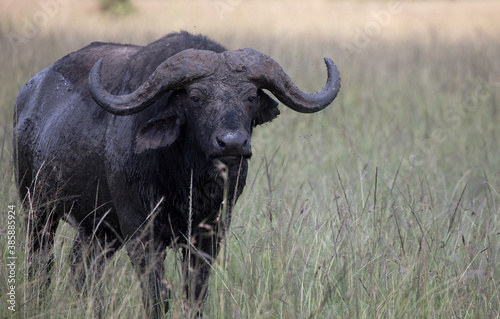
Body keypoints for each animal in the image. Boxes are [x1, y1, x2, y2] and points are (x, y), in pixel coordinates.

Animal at [13, 30, 340, 318]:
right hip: (37, 208)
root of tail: (28, 94)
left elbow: (194, 292)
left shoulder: (210, 233)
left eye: (250, 97)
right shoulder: (141, 231)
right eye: (195, 97)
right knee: (40, 264)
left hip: (98, 227)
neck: (186, 181)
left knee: (81, 266)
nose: (233, 143)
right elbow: (158, 294)